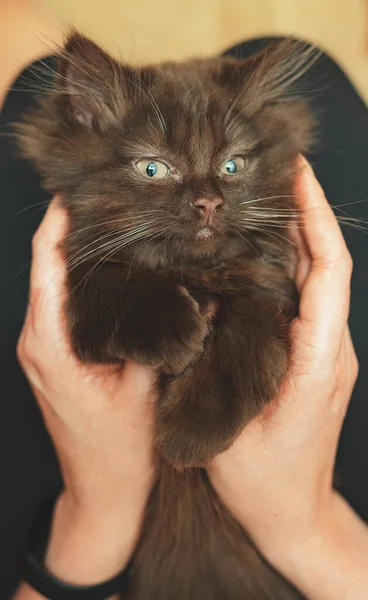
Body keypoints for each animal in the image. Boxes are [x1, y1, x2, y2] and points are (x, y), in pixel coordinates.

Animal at [16, 34, 316, 600]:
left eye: (232, 166)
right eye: (152, 169)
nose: (208, 203)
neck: (193, 274)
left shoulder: (274, 288)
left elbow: (248, 327)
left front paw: (189, 431)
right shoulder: (79, 303)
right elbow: (107, 283)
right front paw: (176, 332)